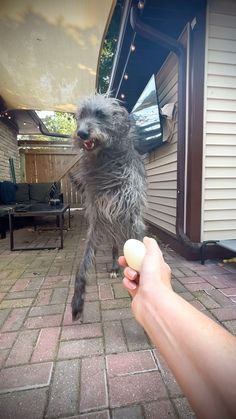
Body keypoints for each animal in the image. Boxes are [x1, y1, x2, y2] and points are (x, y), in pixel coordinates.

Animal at [70, 93, 147, 320]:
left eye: (100, 114)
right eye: (80, 116)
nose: (81, 133)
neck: (105, 162)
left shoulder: (133, 218)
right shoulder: (98, 218)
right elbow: (84, 261)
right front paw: (78, 300)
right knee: (114, 247)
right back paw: (114, 266)